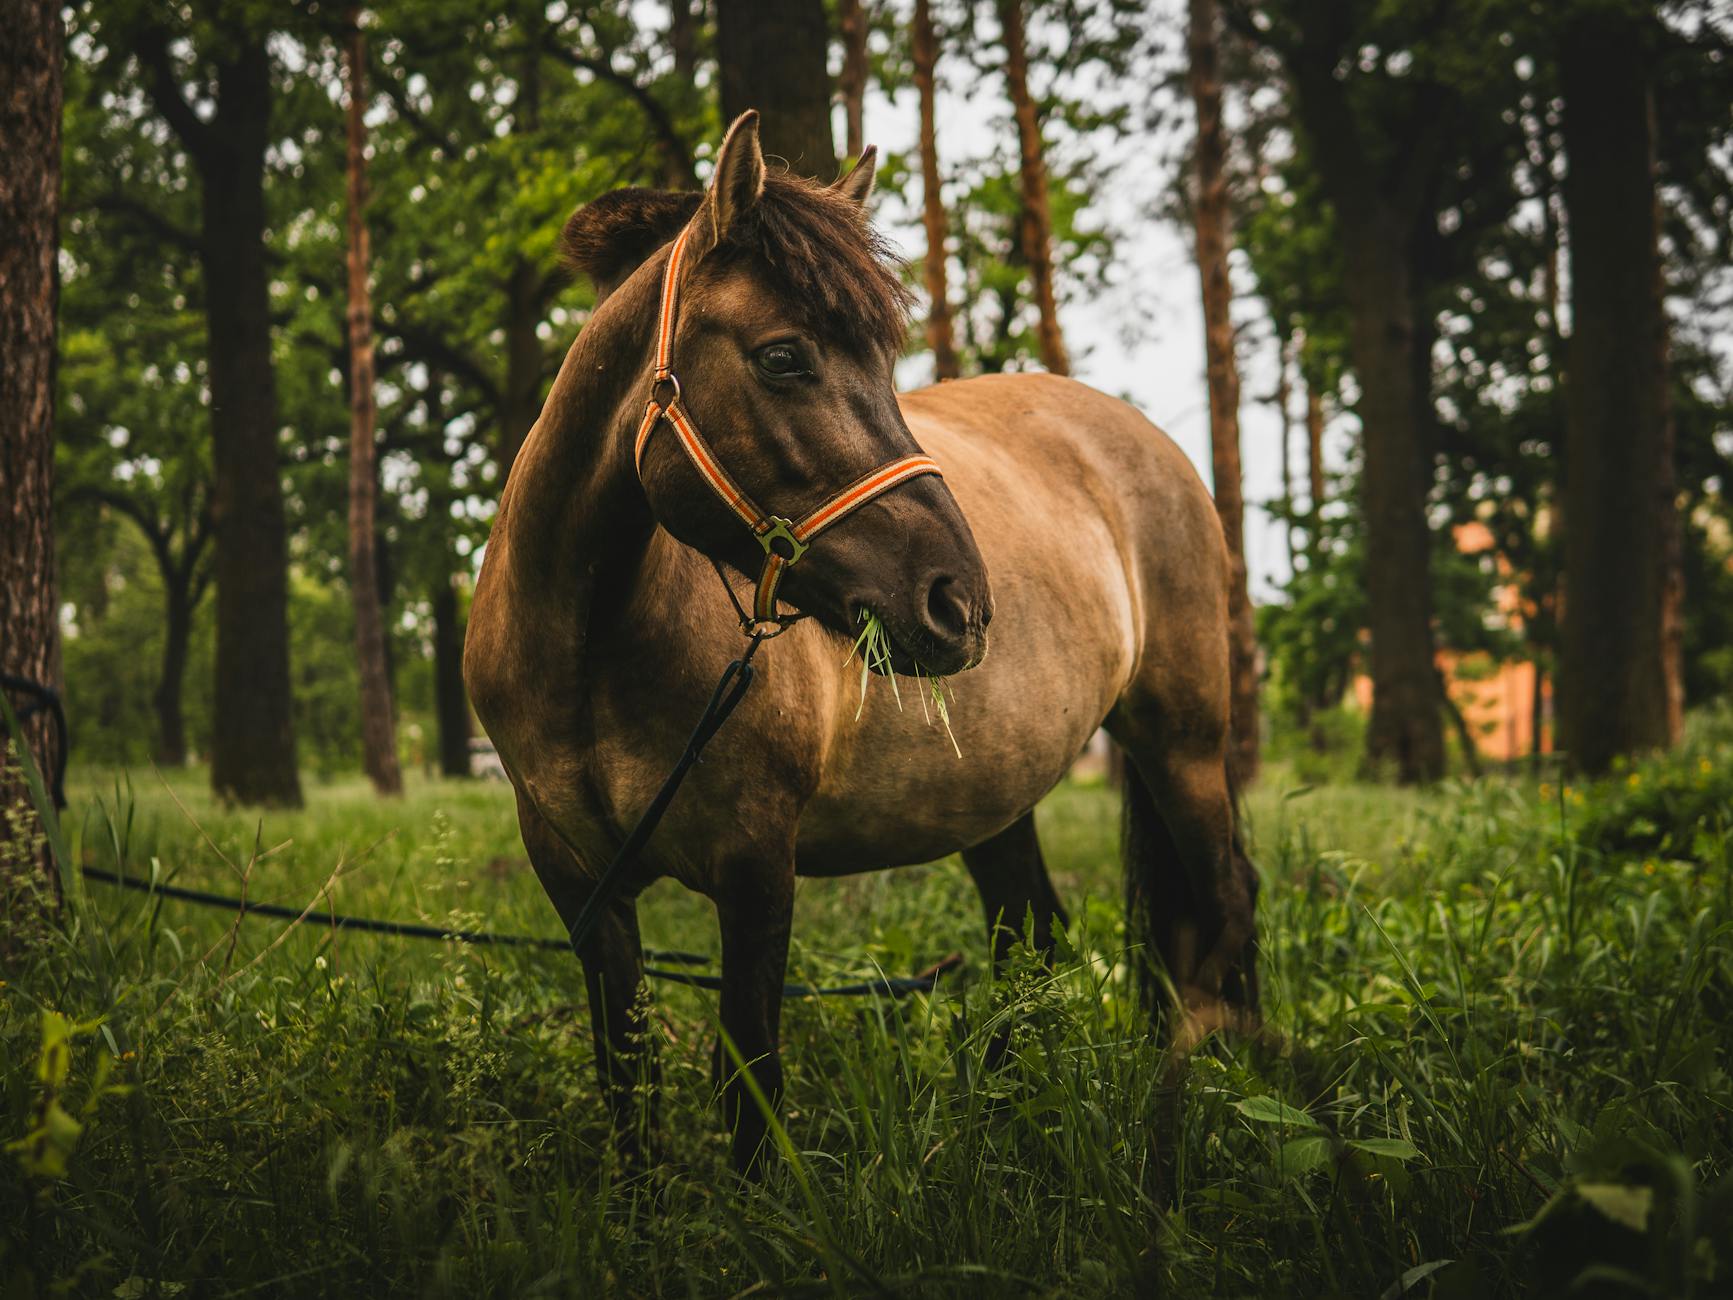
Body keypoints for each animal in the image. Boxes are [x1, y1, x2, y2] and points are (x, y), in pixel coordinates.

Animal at [464, 112, 1260, 1173]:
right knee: (1031, 939)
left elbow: (747, 1079)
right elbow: (625, 1079)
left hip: (1181, 746)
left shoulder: (757, 868)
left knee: (1223, 903)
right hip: (995, 796)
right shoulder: (580, 884)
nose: (958, 602)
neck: (586, 656)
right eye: (782, 357)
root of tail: (1149, 444)